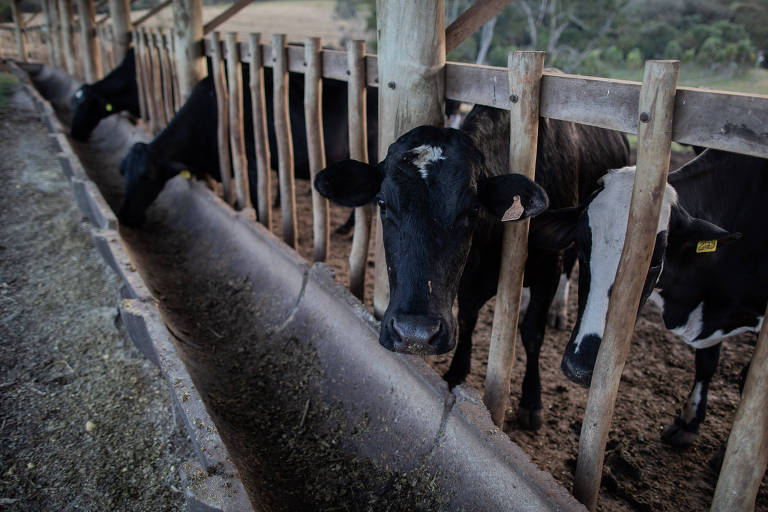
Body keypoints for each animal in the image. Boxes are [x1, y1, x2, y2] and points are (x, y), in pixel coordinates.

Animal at [312, 105, 632, 428]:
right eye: (382, 203)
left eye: (473, 209)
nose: (415, 334)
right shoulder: (468, 281)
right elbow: (467, 319)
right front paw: (456, 373)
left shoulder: (547, 271)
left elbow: (532, 333)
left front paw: (531, 400)